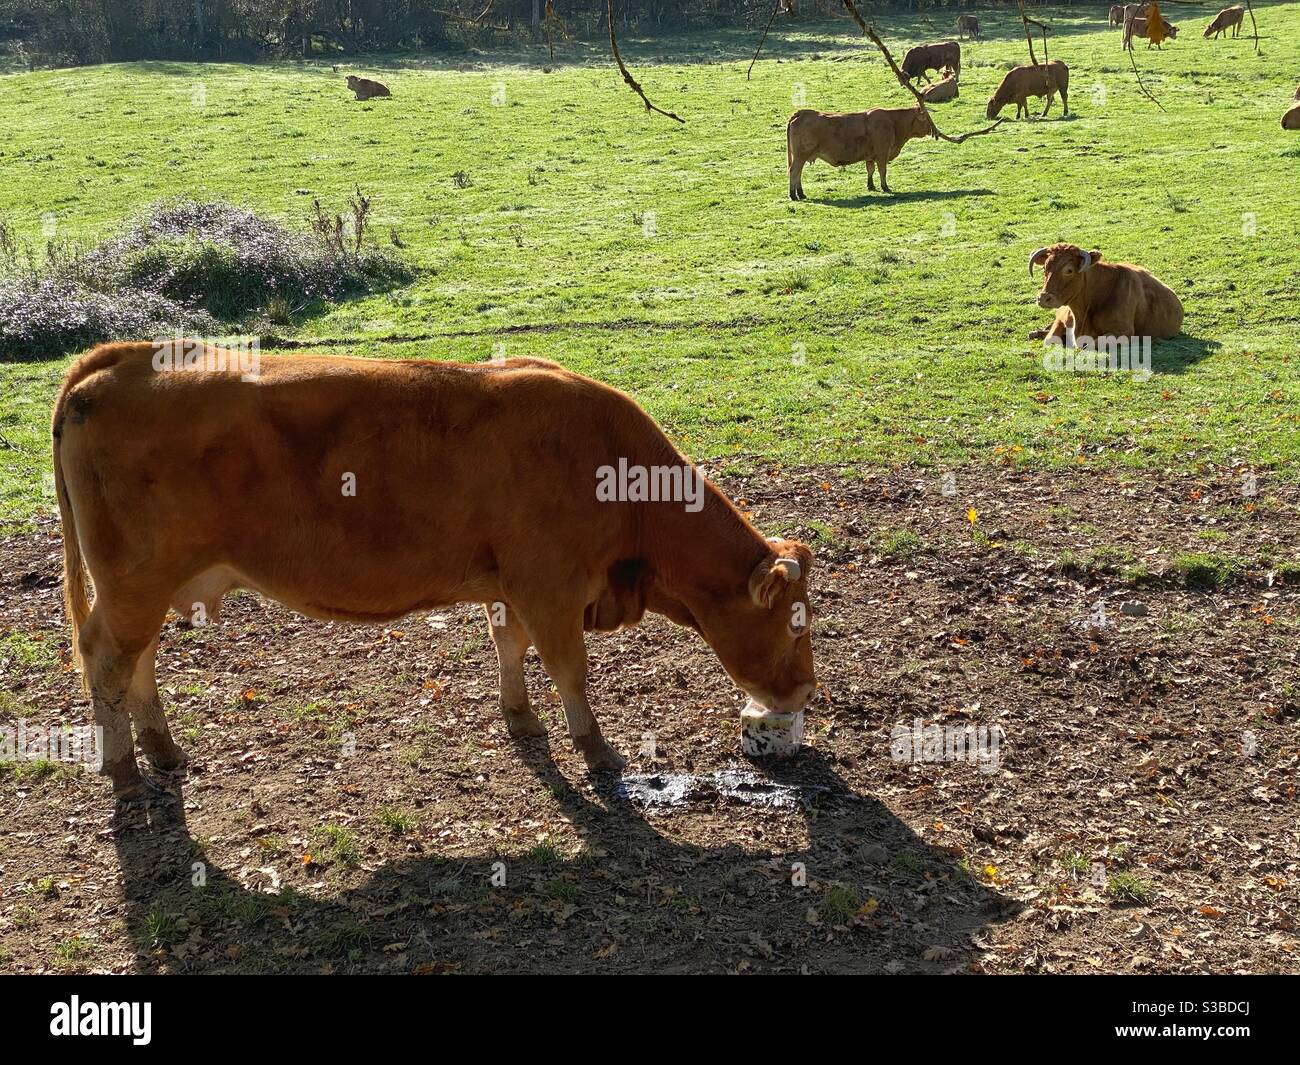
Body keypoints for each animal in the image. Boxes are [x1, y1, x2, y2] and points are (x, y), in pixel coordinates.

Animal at [58, 343, 821, 801]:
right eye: (795, 626)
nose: (807, 691)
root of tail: (121, 360)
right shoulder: (551, 587)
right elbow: (570, 668)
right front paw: (596, 749)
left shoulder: (512, 585)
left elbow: (509, 646)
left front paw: (521, 719)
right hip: (134, 581)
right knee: (105, 657)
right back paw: (123, 768)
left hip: (149, 587)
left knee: (137, 659)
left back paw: (162, 750)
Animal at [780, 104, 935, 197]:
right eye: (927, 118)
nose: (933, 130)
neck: (893, 122)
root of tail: (801, 113)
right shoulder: (882, 153)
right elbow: (882, 171)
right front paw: (885, 187)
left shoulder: (870, 156)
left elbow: (870, 170)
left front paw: (871, 186)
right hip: (800, 155)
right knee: (794, 171)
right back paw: (793, 195)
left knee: (798, 173)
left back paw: (800, 193)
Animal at [1024, 243, 1190, 343]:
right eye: (1045, 268)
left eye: (1069, 270)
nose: (1044, 298)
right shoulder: (1062, 318)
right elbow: (1050, 339)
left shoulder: (1124, 332)